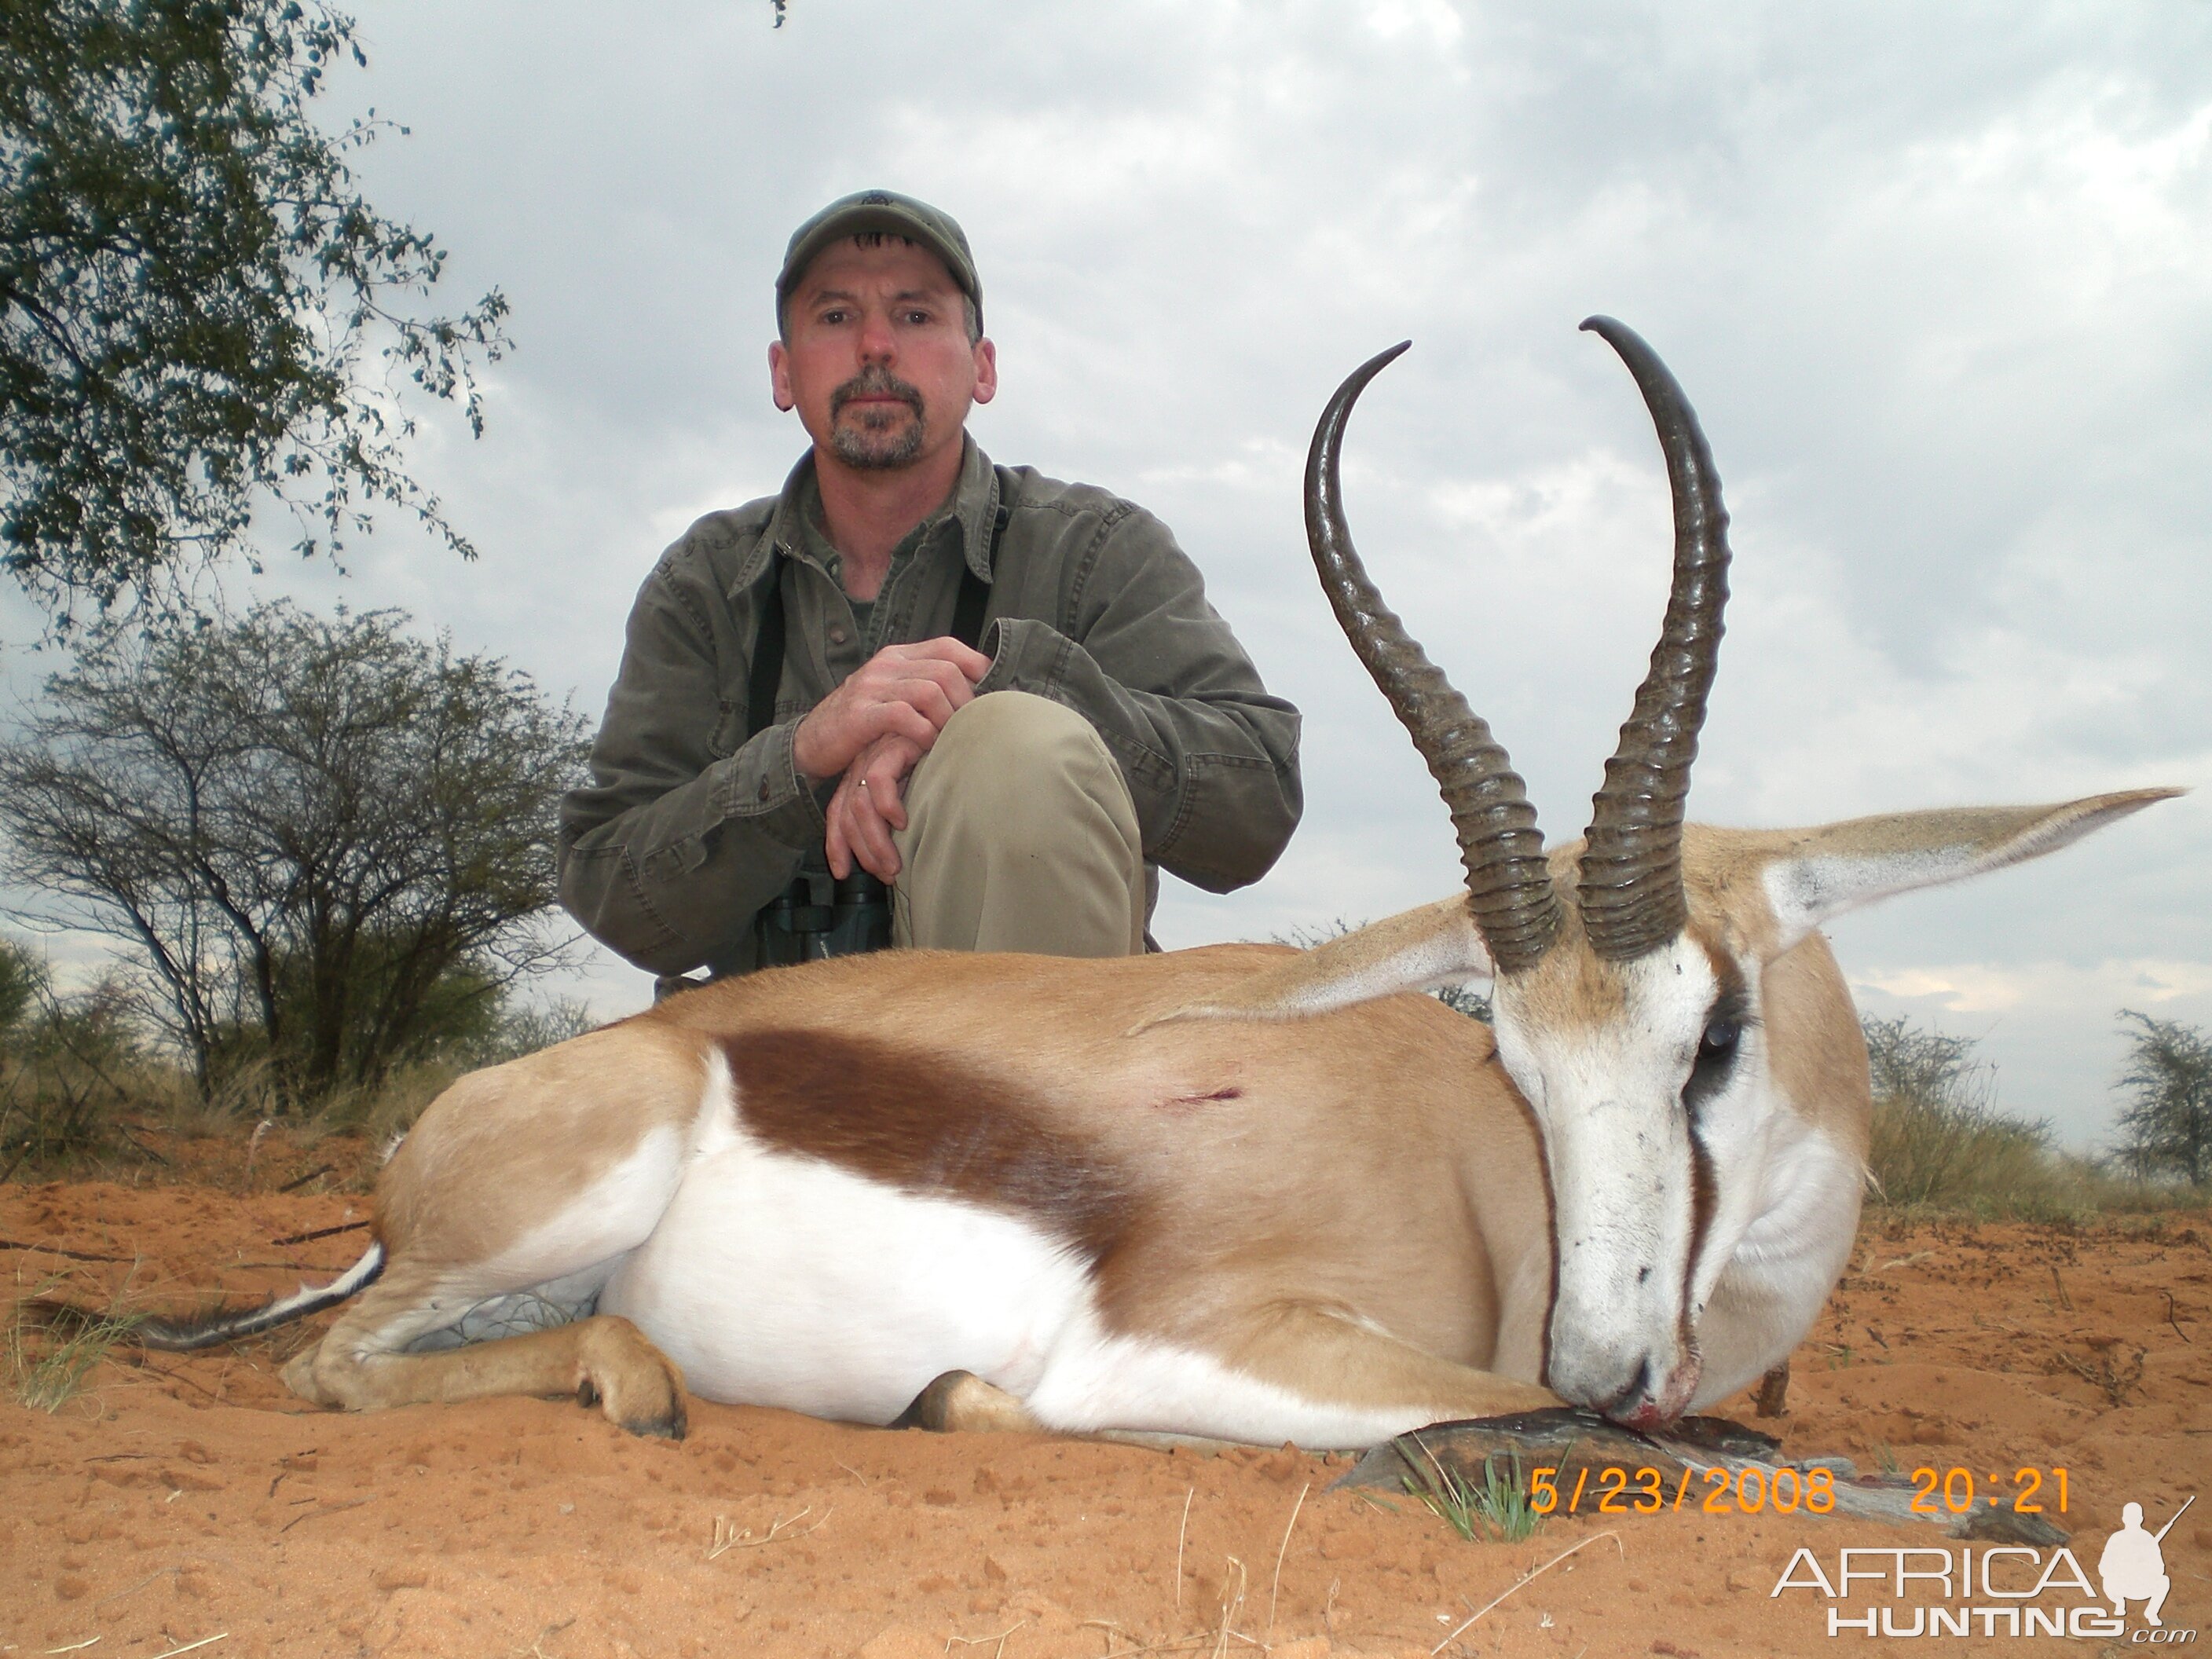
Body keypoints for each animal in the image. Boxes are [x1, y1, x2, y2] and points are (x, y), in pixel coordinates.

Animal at [151, 318, 2176, 1451]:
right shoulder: (1206, 1344)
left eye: (1711, 1035)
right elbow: (1726, 1455)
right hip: (543, 1213)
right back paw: (659, 1392)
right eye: (1510, 1050)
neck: (1474, 1179)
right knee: (330, 1364)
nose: (1610, 1351)